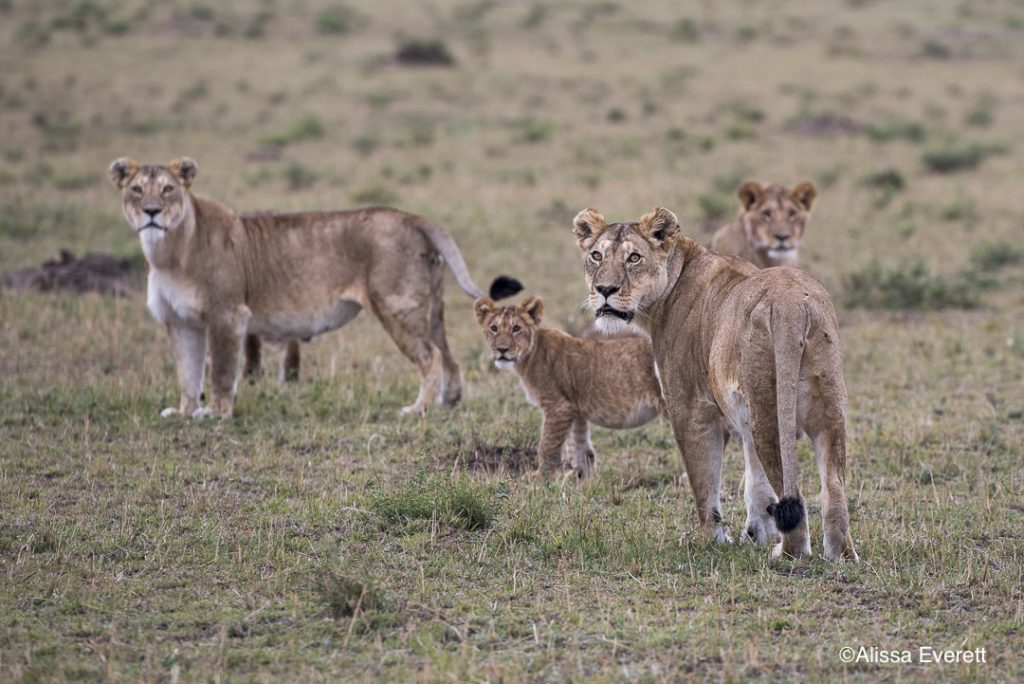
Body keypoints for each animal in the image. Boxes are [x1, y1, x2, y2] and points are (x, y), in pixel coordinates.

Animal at [109, 157, 520, 419]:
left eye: (167, 189)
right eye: (136, 190)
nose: (151, 212)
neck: (168, 253)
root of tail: (415, 217)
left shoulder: (228, 315)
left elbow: (221, 371)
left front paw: (215, 413)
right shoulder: (180, 323)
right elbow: (187, 372)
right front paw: (184, 411)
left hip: (396, 307)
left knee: (430, 356)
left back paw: (417, 409)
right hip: (430, 308)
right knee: (448, 354)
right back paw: (448, 402)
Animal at [473, 296, 663, 479]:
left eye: (516, 328)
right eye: (494, 328)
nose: (502, 350)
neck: (527, 357)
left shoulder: (558, 406)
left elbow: (547, 445)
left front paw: (541, 478)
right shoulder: (574, 407)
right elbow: (579, 444)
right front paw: (581, 476)